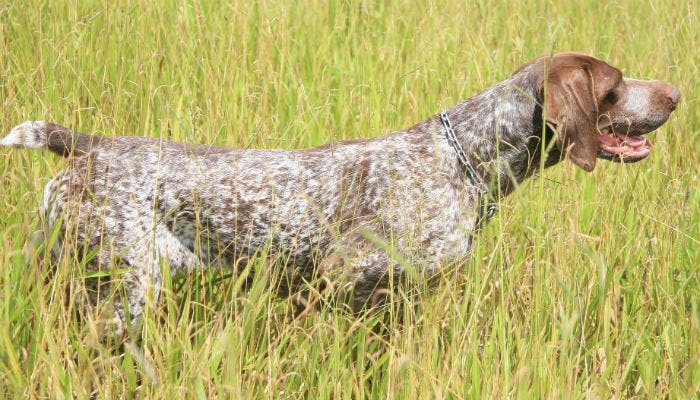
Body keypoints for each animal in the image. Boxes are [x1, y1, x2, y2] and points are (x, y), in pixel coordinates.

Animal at [0, 51, 680, 336]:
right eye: (616, 83)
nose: (675, 94)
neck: (463, 157)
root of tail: (84, 145)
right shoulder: (341, 276)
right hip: (125, 293)